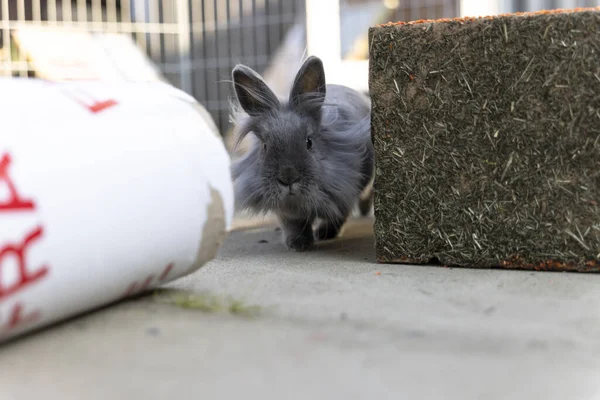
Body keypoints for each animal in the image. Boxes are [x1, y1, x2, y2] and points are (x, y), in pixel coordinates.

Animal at [231, 55, 376, 252]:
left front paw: (324, 234)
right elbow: (294, 224)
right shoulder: (287, 211)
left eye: (309, 142)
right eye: (265, 146)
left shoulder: (345, 190)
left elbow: (338, 215)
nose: (288, 178)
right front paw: (298, 244)